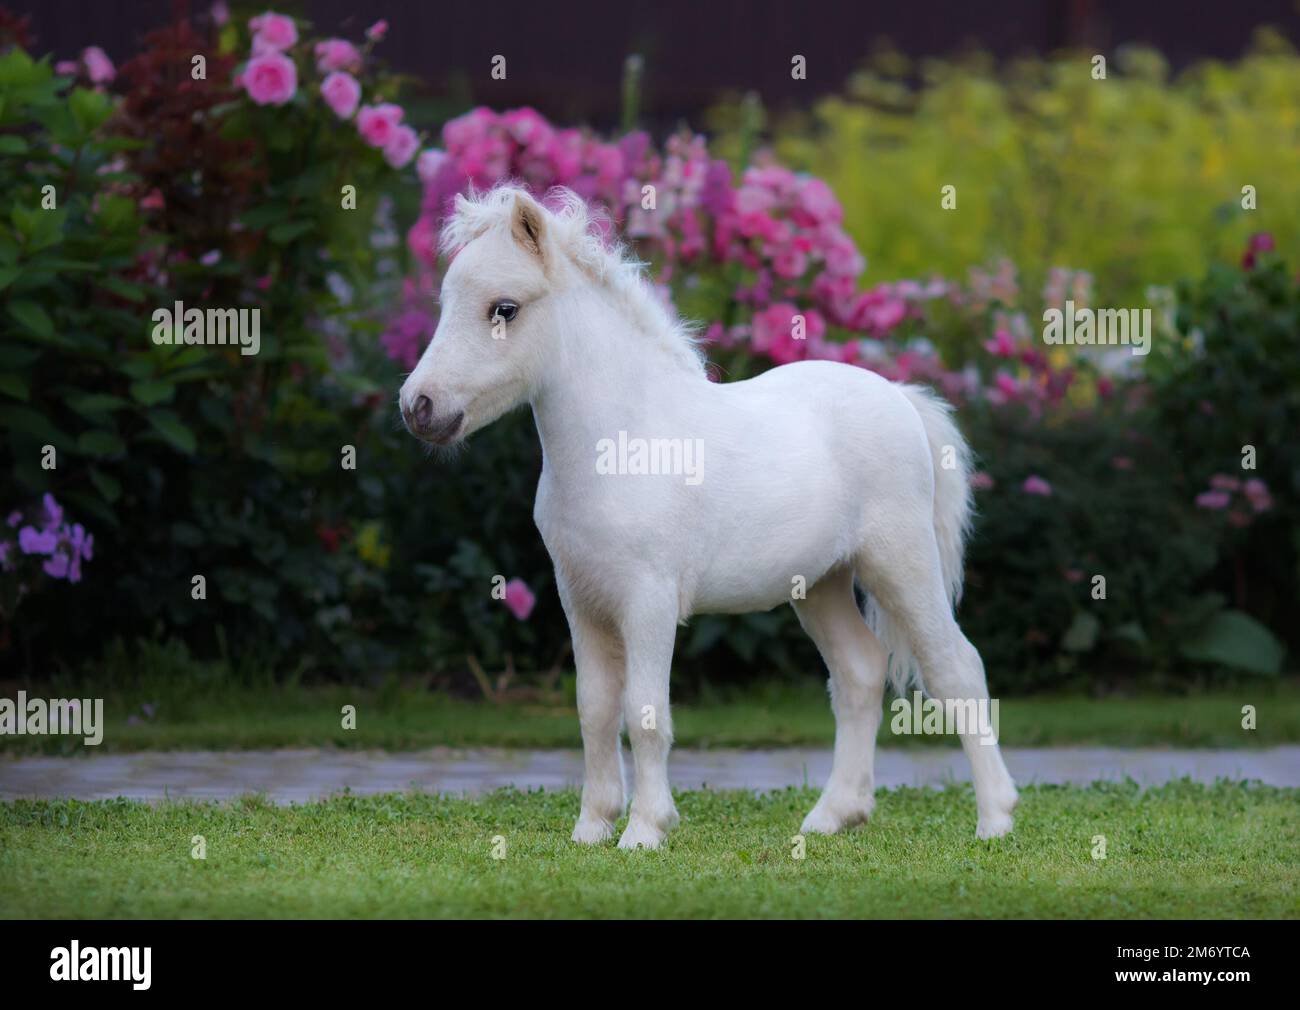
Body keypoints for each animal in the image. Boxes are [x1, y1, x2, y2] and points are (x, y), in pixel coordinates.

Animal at [399, 185, 1019, 849]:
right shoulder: (581, 600)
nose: (419, 407)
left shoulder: (647, 601)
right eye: (446, 303)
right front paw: (592, 827)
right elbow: (595, 709)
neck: (624, 442)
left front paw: (645, 830)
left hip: (900, 563)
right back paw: (833, 815)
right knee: (859, 672)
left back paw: (995, 818)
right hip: (821, 584)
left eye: (505, 309)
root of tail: (900, 398)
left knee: (956, 668)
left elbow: (644, 713)